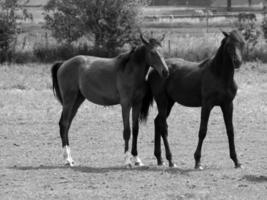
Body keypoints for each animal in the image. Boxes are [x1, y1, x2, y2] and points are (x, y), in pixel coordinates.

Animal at [51, 34, 169, 167]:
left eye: (162, 51)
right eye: (152, 52)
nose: (165, 71)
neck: (129, 70)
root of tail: (63, 63)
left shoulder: (137, 104)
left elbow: (135, 130)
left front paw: (137, 159)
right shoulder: (126, 104)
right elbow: (127, 131)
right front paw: (127, 161)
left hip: (77, 102)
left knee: (67, 125)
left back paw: (70, 159)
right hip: (69, 101)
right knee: (63, 124)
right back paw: (67, 159)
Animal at [143, 30, 246, 169]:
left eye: (242, 43)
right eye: (229, 44)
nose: (237, 61)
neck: (219, 75)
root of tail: (156, 70)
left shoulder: (228, 105)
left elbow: (230, 131)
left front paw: (236, 161)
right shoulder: (207, 105)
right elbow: (202, 131)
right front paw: (197, 161)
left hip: (169, 103)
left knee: (157, 122)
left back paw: (160, 159)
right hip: (162, 101)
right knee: (163, 126)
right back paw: (171, 160)